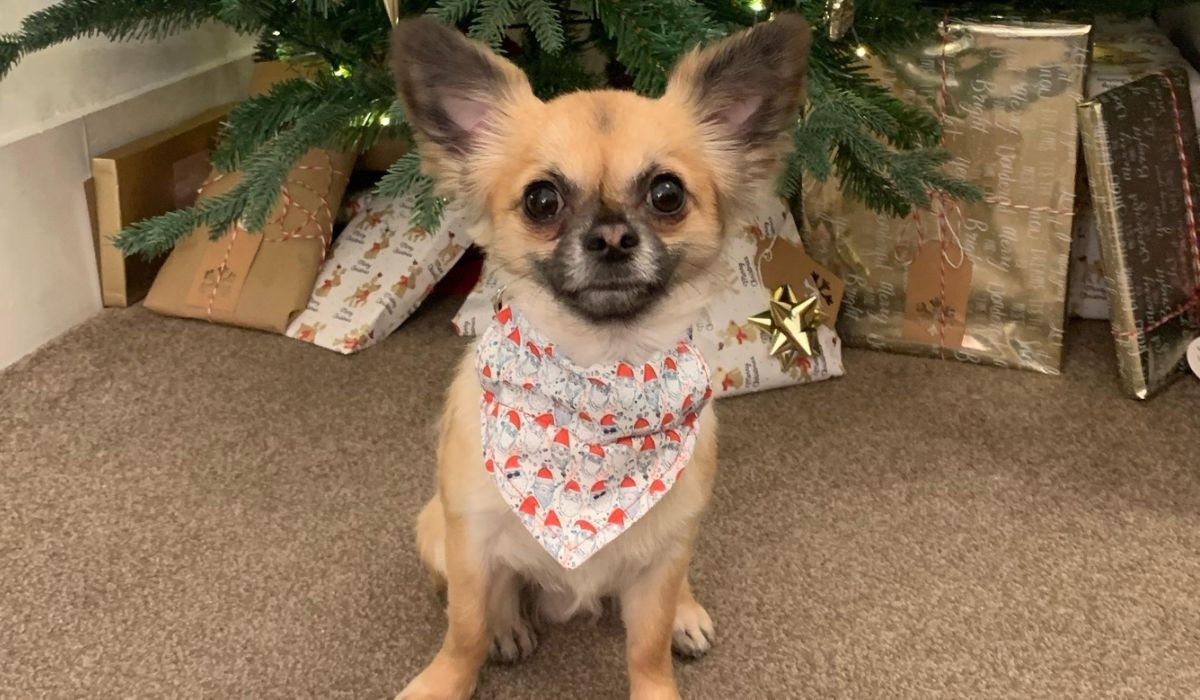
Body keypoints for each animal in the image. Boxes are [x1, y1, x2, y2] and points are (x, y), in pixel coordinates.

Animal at [388, 12, 811, 700]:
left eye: (667, 195)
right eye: (542, 200)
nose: (612, 237)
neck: (598, 380)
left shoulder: (662, 555)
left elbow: (646, 650)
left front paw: (662, 662)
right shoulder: (469, 544)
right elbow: (466, 629)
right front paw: (445, 680)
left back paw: (686, 613)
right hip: (434, 531)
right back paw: (511, 626)